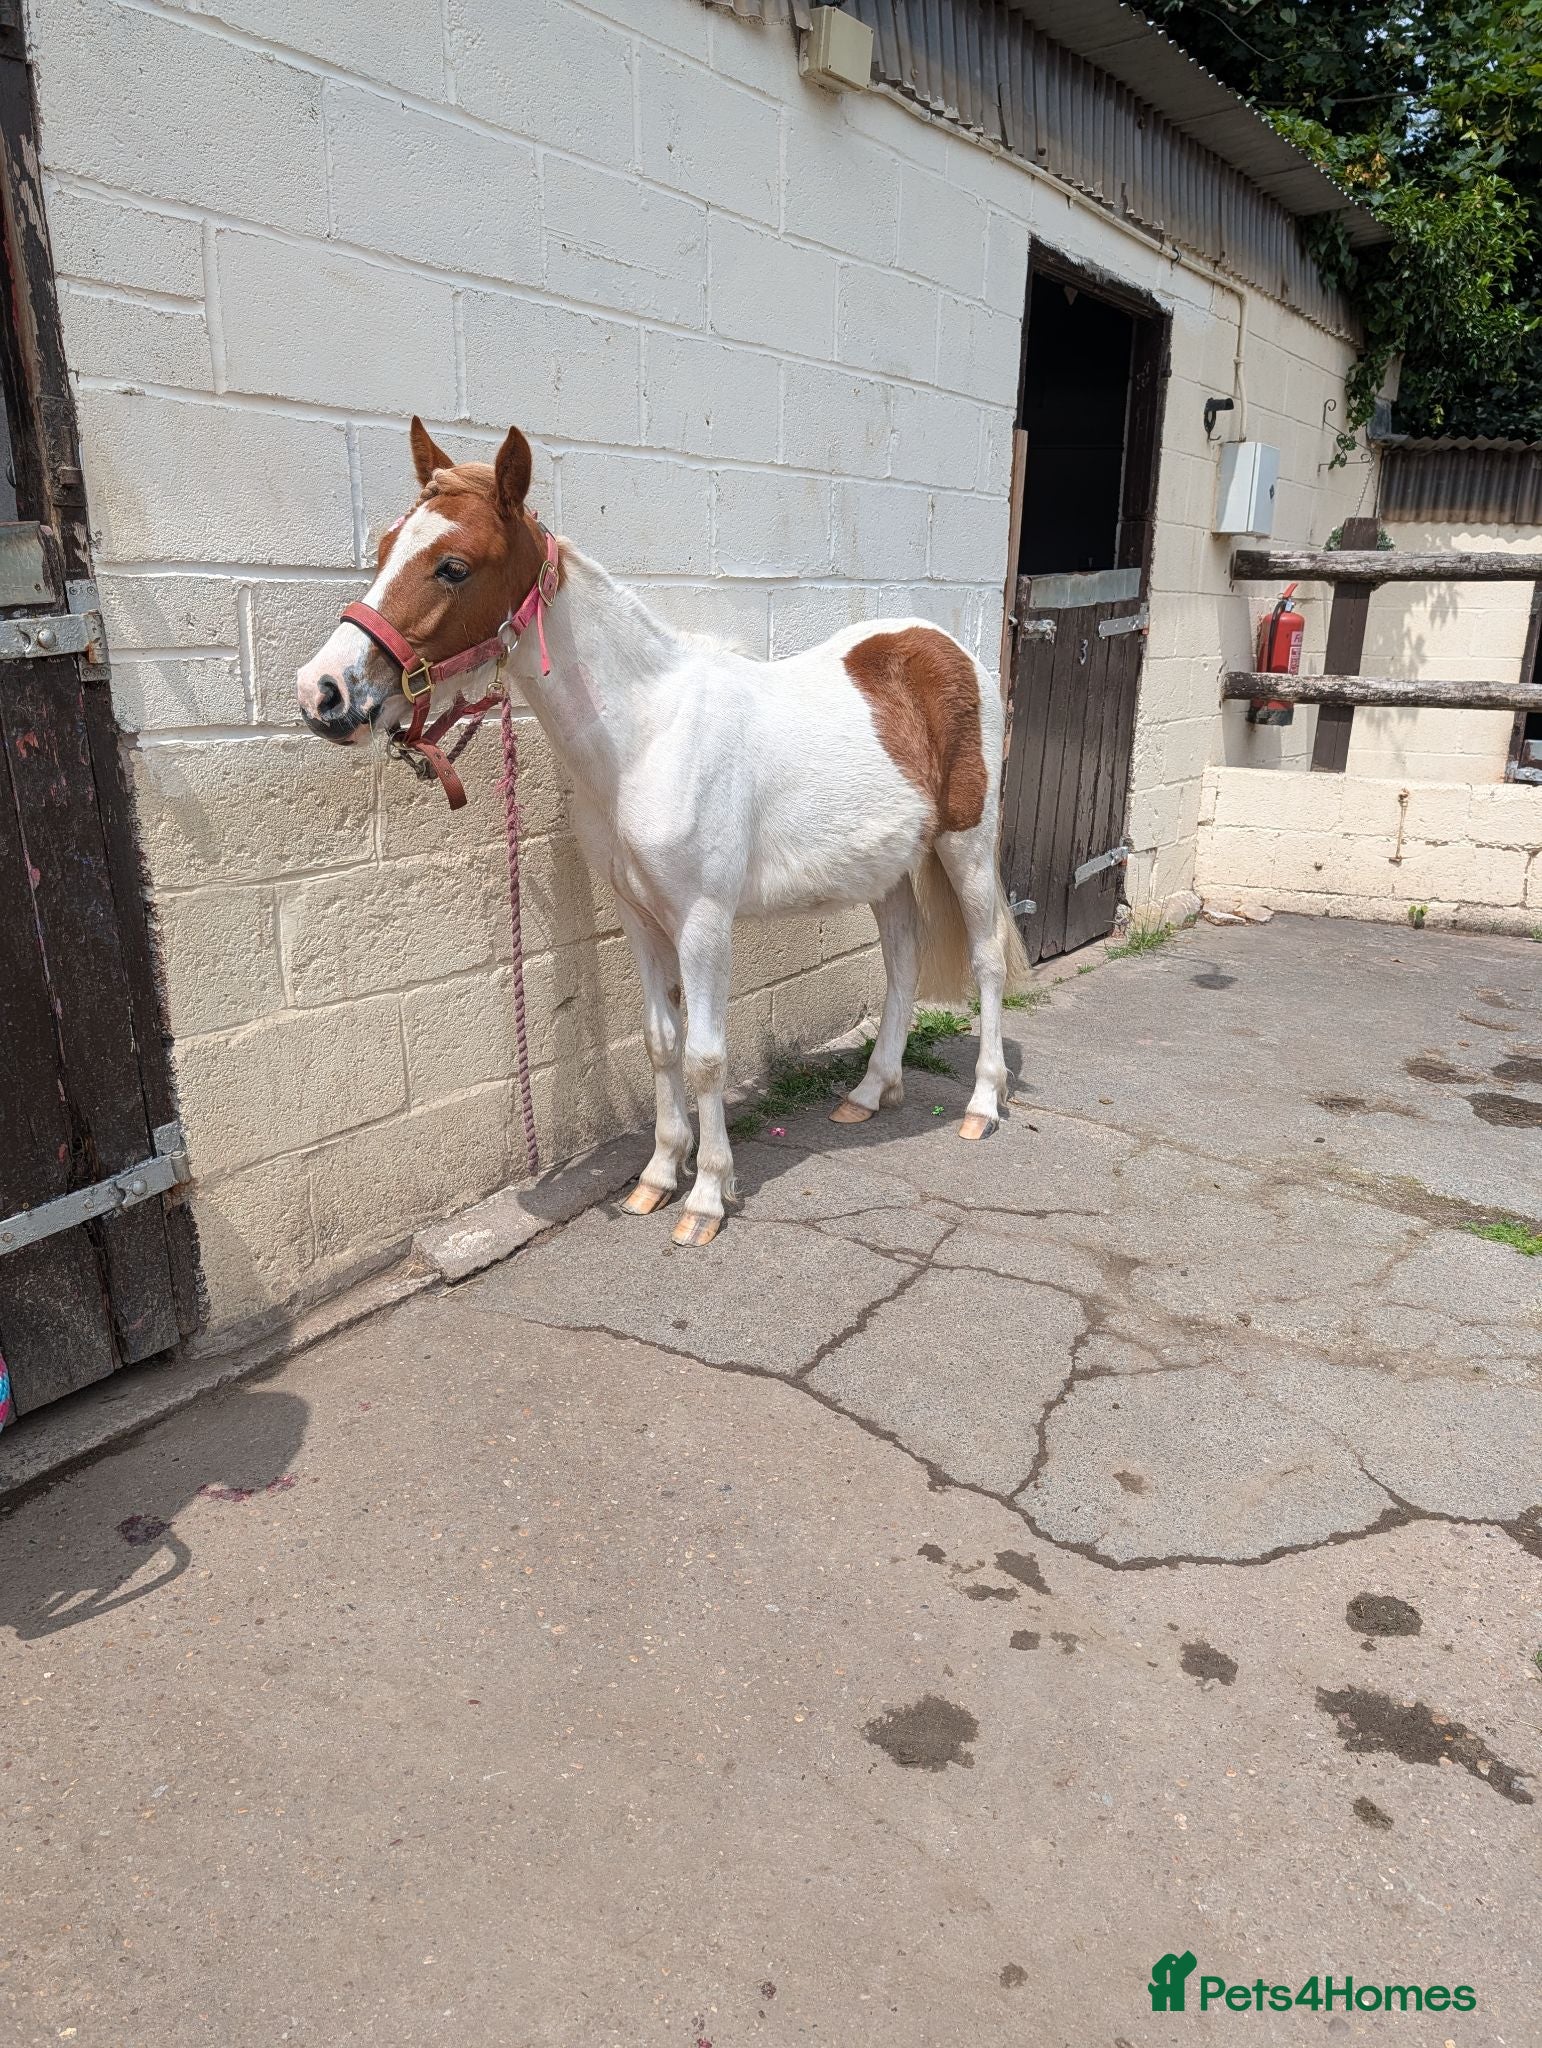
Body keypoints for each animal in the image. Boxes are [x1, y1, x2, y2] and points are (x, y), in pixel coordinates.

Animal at [297, 418, 1029, 1248]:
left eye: (453, 566)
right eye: (387, 545)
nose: (323, 693)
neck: (645, 738)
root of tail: (947, 648)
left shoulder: (704, 923)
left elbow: (706, 1055)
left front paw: (706, 1198)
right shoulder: (637, 915)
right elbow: (660, 1042)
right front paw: (656, 1177)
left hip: (964, 845)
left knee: (986, 960)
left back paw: (982, 1106)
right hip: (888, 867)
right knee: (903, 962)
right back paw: (871, 1092)